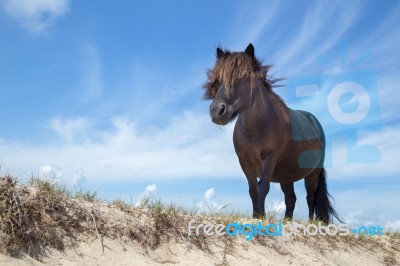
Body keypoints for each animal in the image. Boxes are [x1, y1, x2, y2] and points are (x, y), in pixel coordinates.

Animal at [203, 43, 340, 222]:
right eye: (218, 80)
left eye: (243, 77)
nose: (217, 111)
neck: (256, 128)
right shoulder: (244, 162)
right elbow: (252, 189)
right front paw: (255, 215)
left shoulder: (269, 158)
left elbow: (263, 187)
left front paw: (261, 215)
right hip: (286, 176)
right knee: (291, 198)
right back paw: (287, 220)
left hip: (312, 174)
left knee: (311, 198)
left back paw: (310, 222)